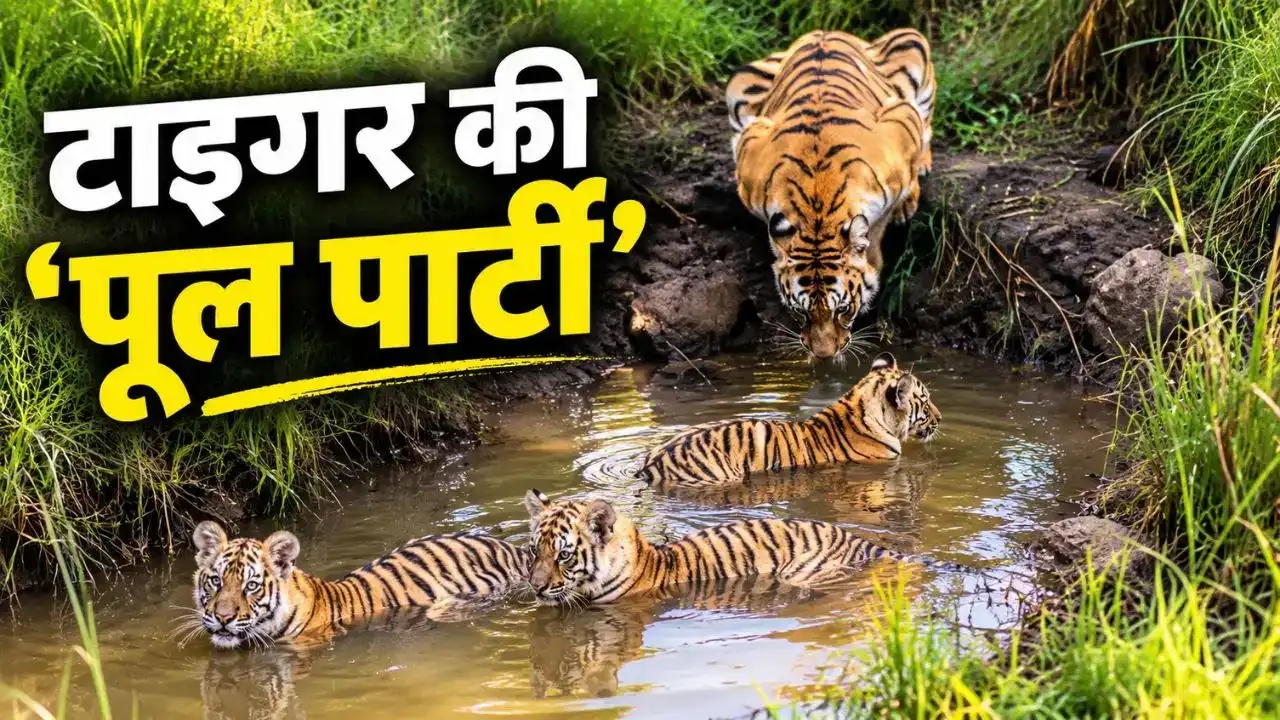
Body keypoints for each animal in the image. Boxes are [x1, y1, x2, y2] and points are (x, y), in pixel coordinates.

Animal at [726, 29, 936, 358]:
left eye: (843, 310)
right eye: (800, 313)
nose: (823, 355)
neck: (817, 212)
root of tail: (824, 31)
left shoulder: (902, 119)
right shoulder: (749, 143)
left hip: (912, 45)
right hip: (740, 82)